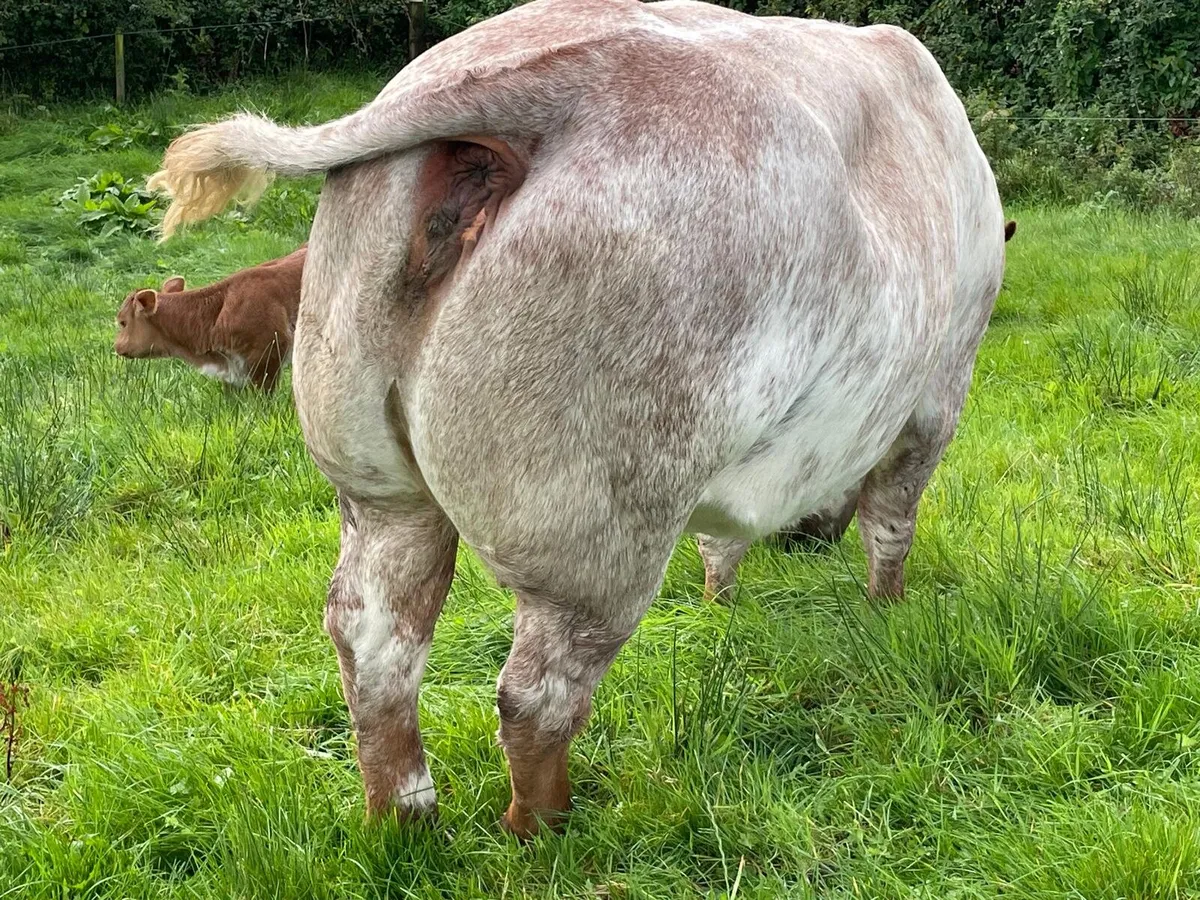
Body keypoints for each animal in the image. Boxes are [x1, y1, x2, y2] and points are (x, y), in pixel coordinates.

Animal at [147, 0, 1008, 837]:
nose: (806, 540)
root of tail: (538, 82)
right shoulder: (940, 384)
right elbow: (893, 516)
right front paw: (886, 610)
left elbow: (721, 542)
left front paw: (721, 605)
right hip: (597, 522)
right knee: (535, 692)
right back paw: (543, 826)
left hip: (375, 480)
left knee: (373, 637)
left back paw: (406, 820)